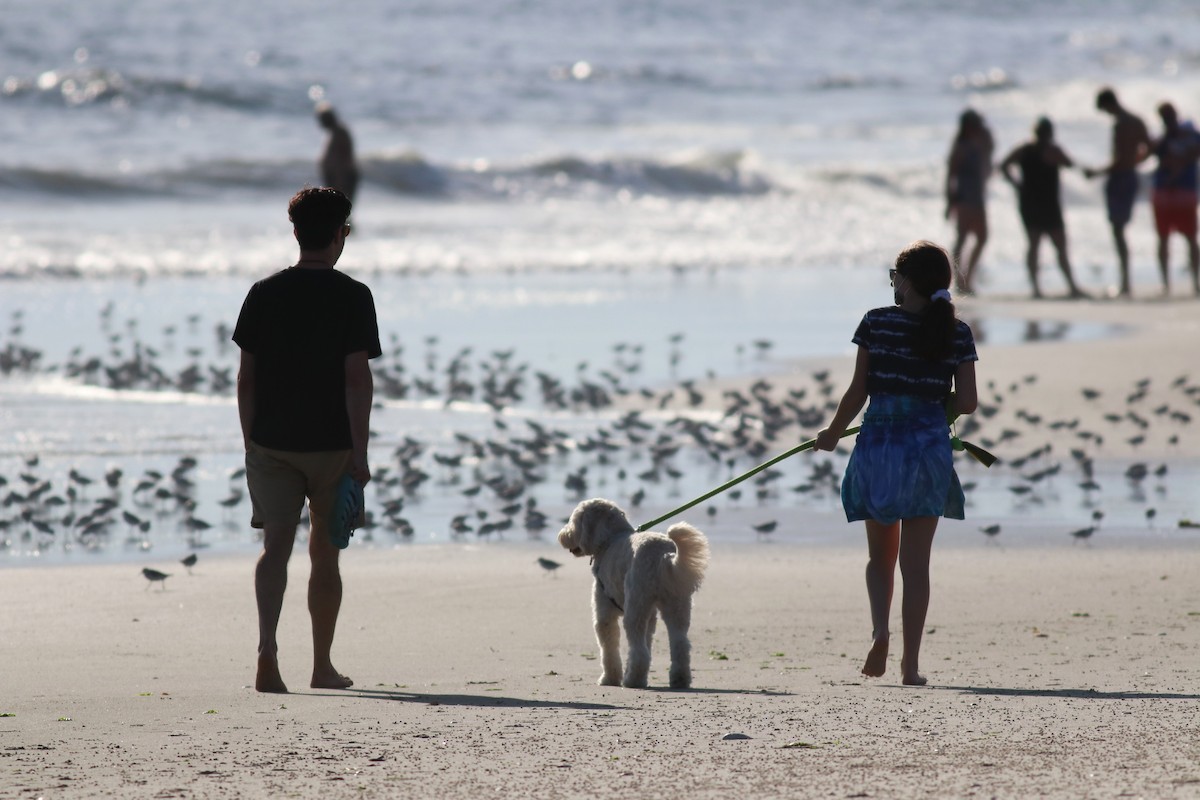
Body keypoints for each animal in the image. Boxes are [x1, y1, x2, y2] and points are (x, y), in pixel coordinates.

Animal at [556, 501, 705, 690]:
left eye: (574, 520)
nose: (561, 535)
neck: (610, 540)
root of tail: (664, 556)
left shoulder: (604, 612)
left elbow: (609, 648)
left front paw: (609, 678)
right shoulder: (651, 616)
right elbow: (647, 639)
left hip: (636, 605)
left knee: (640, 651)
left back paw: (632, 680)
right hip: (676, 603)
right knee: (680, 644)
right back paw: (679, 680)